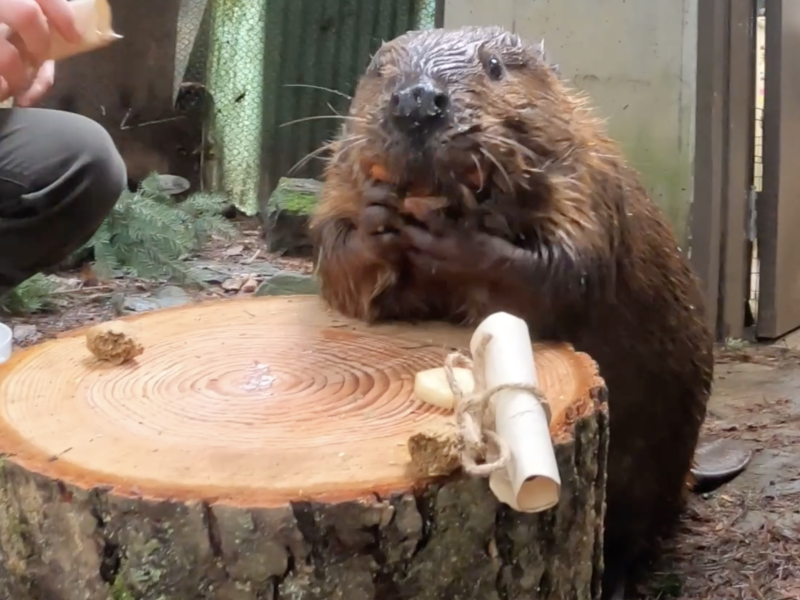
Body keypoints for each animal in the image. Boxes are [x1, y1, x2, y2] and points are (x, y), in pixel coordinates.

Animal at [310, 24, 720, 600]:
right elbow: (335, 255)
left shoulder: (586, 181)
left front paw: (453, 235)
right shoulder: (339, 180)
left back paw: (619, 575)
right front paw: (378, 216)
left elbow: (565, 269)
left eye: (496, 67)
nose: (417, 101)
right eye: (380, 70)